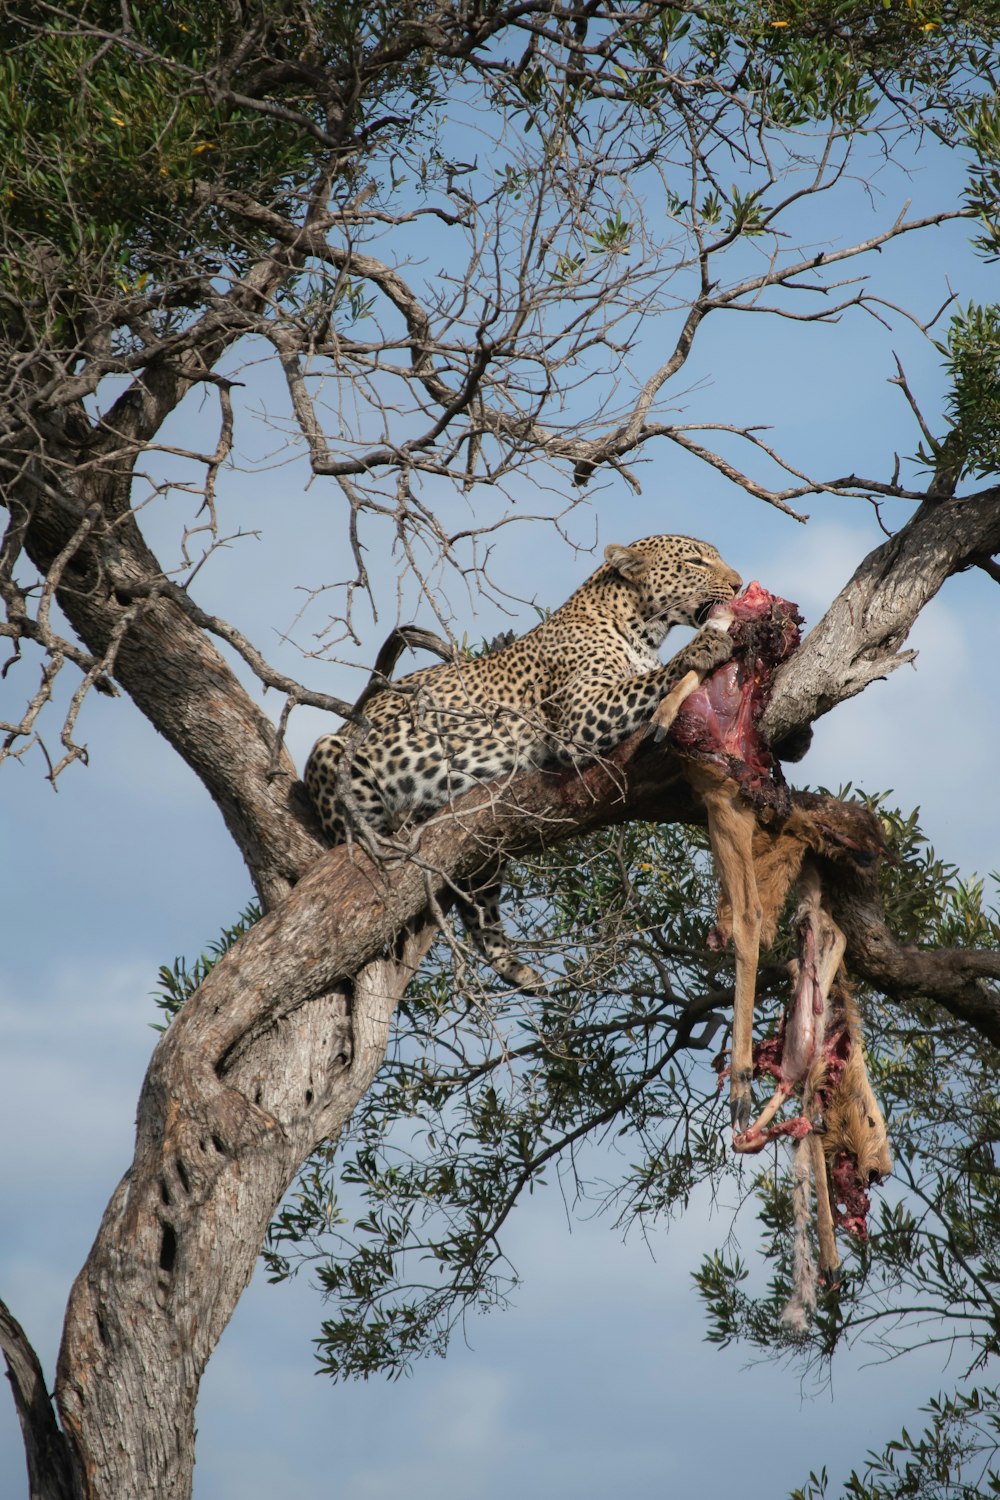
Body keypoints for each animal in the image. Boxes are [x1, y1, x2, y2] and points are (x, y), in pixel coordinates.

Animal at [305, 534, 743, 990]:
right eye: (695, 561)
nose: (739, 585)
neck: (642, 629)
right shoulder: (583, 716)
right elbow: (647, 680)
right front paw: (703, 646)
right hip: (333, 753)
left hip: (482, 860)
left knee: (480, 913)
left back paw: (520, 971)